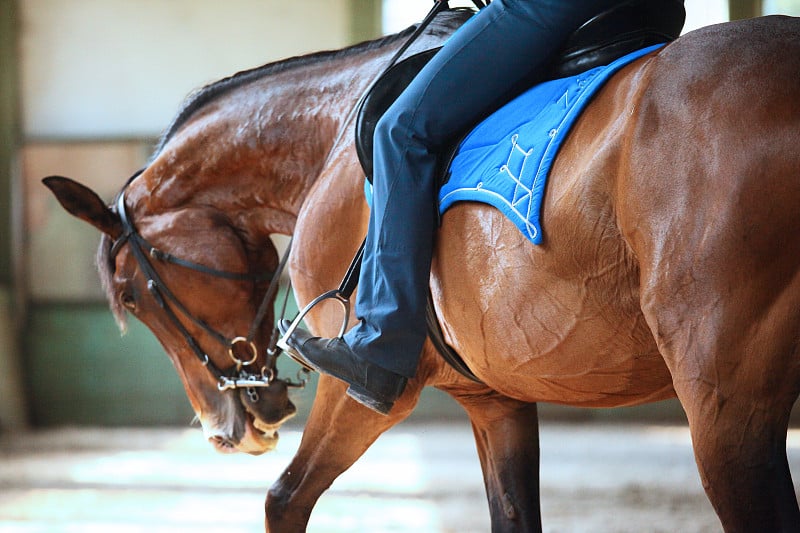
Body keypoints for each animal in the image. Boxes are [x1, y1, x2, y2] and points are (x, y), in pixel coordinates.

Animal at [42, 8, 800, 532]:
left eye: (137, 296)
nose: (227, 429)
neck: (333, 136)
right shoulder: (495, 400)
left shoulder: (362, 387)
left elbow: (284, 499)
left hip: (726, 415)